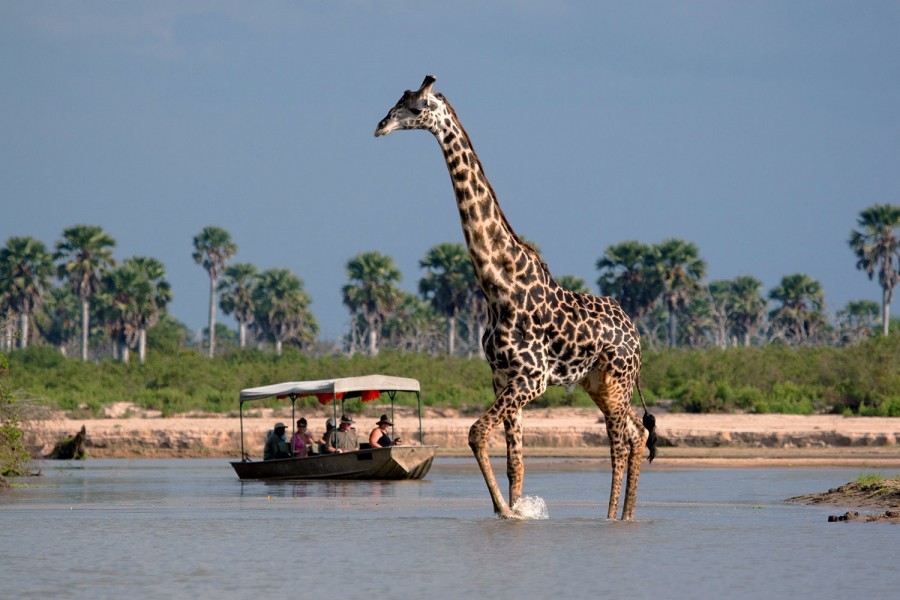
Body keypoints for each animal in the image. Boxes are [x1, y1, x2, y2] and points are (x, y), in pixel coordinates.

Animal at [372, 75, 652, 516]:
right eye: (396, 102)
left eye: (415, 108)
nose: (381, 126)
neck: (497, 286)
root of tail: (636, 334)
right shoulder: (502, 377)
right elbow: (515, 464)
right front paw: (514, 512)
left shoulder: (531, 379)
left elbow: (474, 433)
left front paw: (505, 510)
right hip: (597, 382)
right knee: (635, 433)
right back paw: (623, 517)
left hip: (618, 380)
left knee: (624, 441)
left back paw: (614, 518)